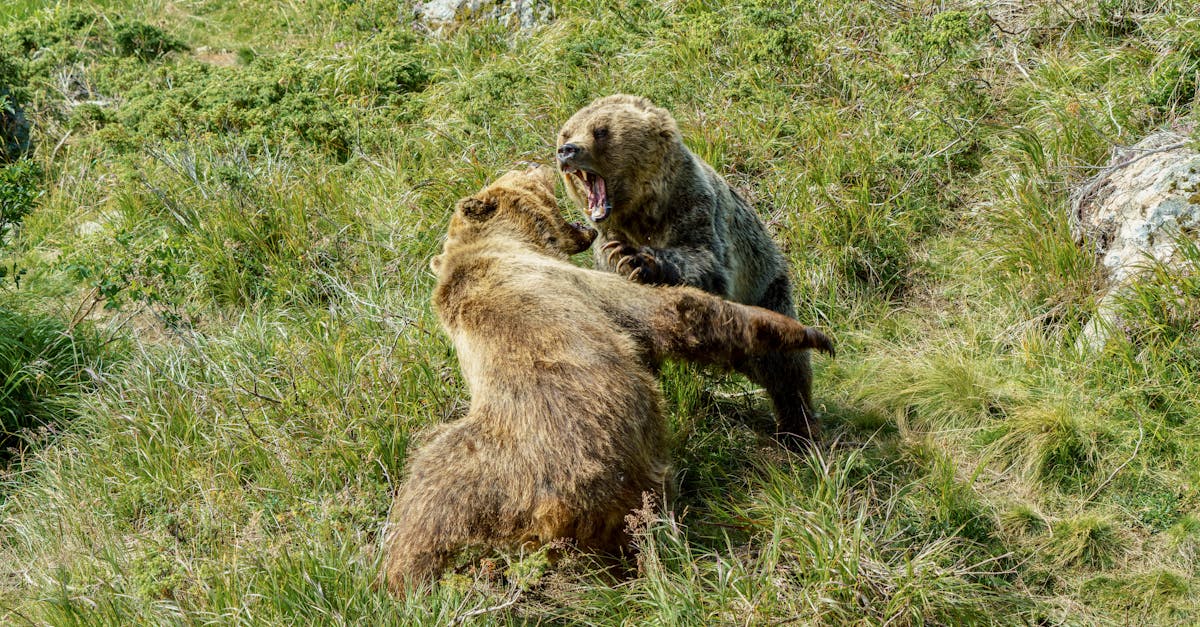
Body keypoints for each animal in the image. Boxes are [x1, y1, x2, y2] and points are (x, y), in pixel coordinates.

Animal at [382, 166, 833, 596]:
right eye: (517, 178)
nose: (536, 164)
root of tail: (549, 511)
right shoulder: (566, 282)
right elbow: (672, 310)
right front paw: (806, 333)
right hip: (605, 465)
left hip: (476, 480)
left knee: (423, 505)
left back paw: (401, 580)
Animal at [556, 94, 822, 443]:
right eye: (565, 131)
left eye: (601, 130)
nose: (567, 150)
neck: (643, 211)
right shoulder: (604, 242)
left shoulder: (694, 207)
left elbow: (704, 263)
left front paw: (637, 259)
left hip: (765, 288)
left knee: (786, 364)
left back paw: (798, 427)